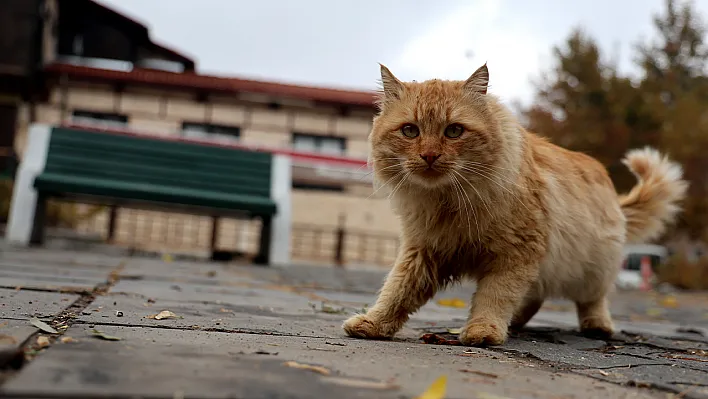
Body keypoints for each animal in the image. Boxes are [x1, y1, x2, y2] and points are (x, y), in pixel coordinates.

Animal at [342, 64, 684, 346]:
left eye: (454, 131)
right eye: (410, 130)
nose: (429, 156)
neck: (449, 202)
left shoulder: (515, 254)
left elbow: (493, 297)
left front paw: (483, 331)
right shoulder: (423, 251)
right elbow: (396, 293)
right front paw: (373, 323)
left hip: (591, 270)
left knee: (592, 299)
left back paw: (596, 326)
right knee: (534, 297)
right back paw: (516, 323)